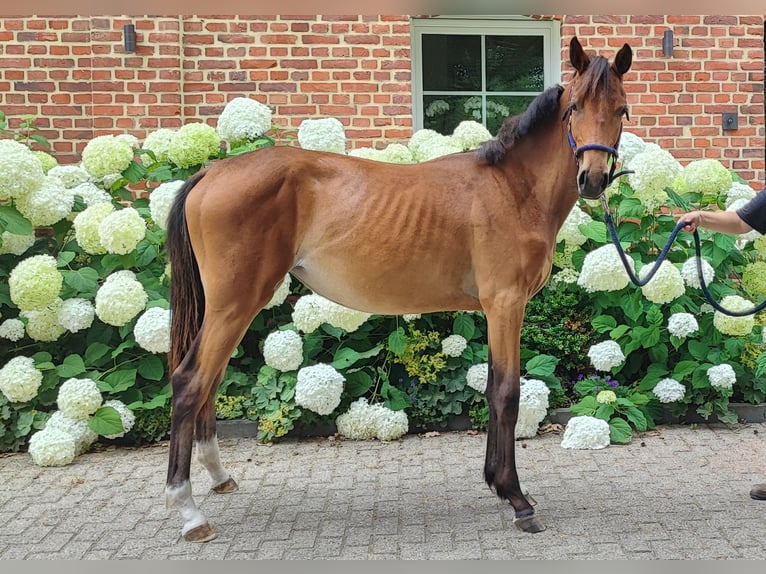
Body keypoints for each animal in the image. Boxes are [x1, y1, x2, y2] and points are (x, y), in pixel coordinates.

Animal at [164, 35, 633, 542]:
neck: (512, 188)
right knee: (190, 382)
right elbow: (506, 394)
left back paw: (218, 477)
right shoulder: (505, 304)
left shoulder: (496, 309)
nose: (592, 178)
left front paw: (496, 483)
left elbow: (493, 388)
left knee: (209, 382)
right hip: (233, 305)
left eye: (621, 110)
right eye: (575, 107)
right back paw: (189, 511)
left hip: (230, 308)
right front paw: (517, 499)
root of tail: (212, 172)